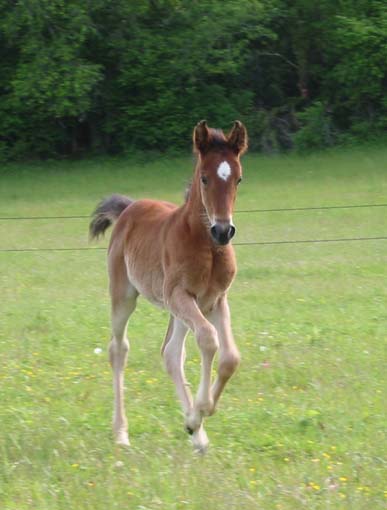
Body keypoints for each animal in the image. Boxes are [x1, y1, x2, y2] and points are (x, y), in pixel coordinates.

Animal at [90, 121, 249, 452]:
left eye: (238, 178)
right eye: (204, 178)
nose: (223, 230)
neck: (206, 246)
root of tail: (130, 207)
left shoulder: (215, 299)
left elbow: (230, 357)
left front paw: (196, 418)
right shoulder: (180, 295)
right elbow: (209, 340)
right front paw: (202, 408)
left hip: (182, 310)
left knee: (171, 353)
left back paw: (197, 435)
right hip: (125, 295)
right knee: (118, 349)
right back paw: (121, 433)